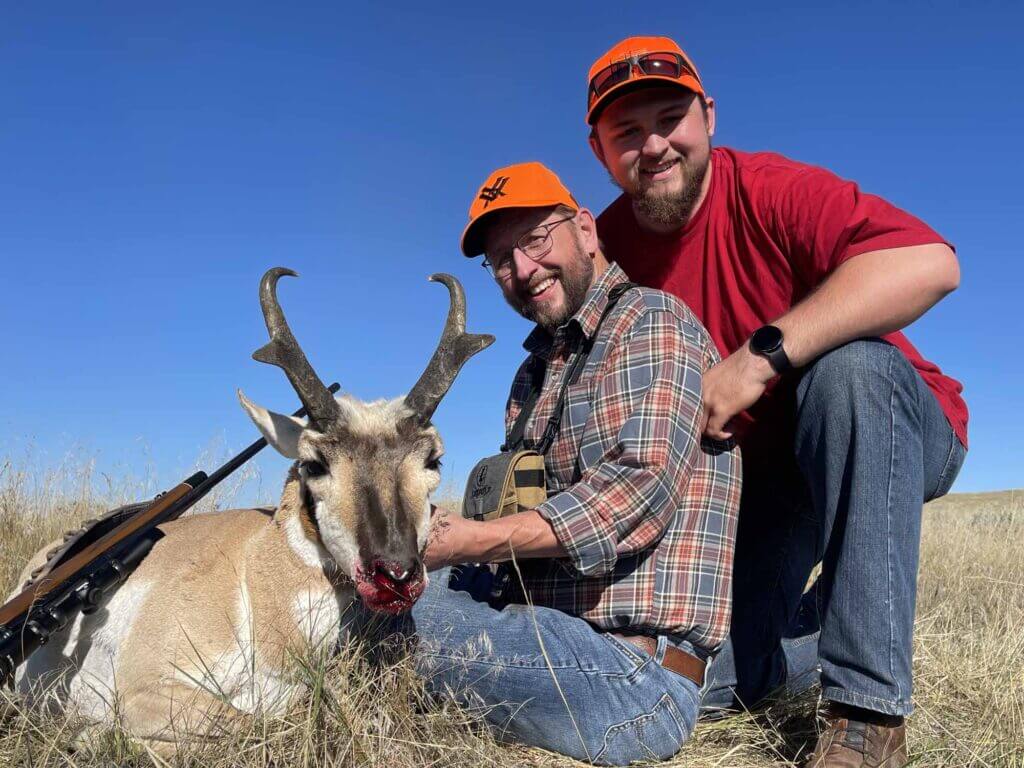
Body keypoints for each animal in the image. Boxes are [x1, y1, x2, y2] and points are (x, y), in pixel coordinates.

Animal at [10, 267, 493, 749]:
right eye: (314, 463)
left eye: (433, 460)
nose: (395, 575)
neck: (255, 572)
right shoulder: (145, 687)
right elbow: (251, 724)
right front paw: (95, 736)